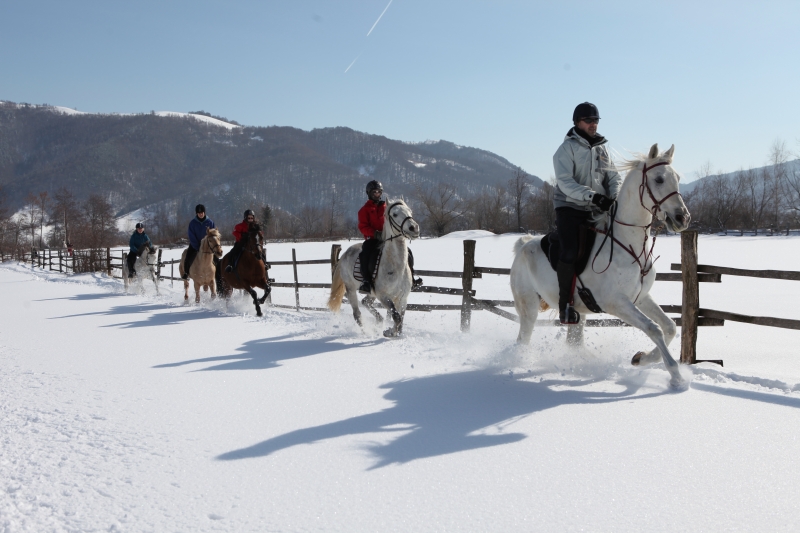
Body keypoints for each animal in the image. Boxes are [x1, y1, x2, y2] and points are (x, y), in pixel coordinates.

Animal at [328, 197, 422, 338]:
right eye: (394, 214)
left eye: (409, 211)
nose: (414, 228)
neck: (396, 267)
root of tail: (344, 255)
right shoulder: (383, 296)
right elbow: (396, 317)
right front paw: (389, 332)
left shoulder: (403, 298)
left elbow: (400, 319)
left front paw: (395, 332)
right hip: (351, 290)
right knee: (357, 314)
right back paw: (365, 332)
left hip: (371, 294)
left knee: (365, 302)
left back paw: (379, 321)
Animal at [512, 145, 692, 386]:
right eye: (659, 179)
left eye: (678, 178)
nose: (682, 218)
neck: (629, 244)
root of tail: (523, 244)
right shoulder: (616, 303)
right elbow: (653, 329)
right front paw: (676, 375)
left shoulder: (641, 298)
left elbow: (669, 327)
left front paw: (641, 358)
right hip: (529, 308)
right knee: (522, 340)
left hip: (577, 313)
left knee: (573, 342)